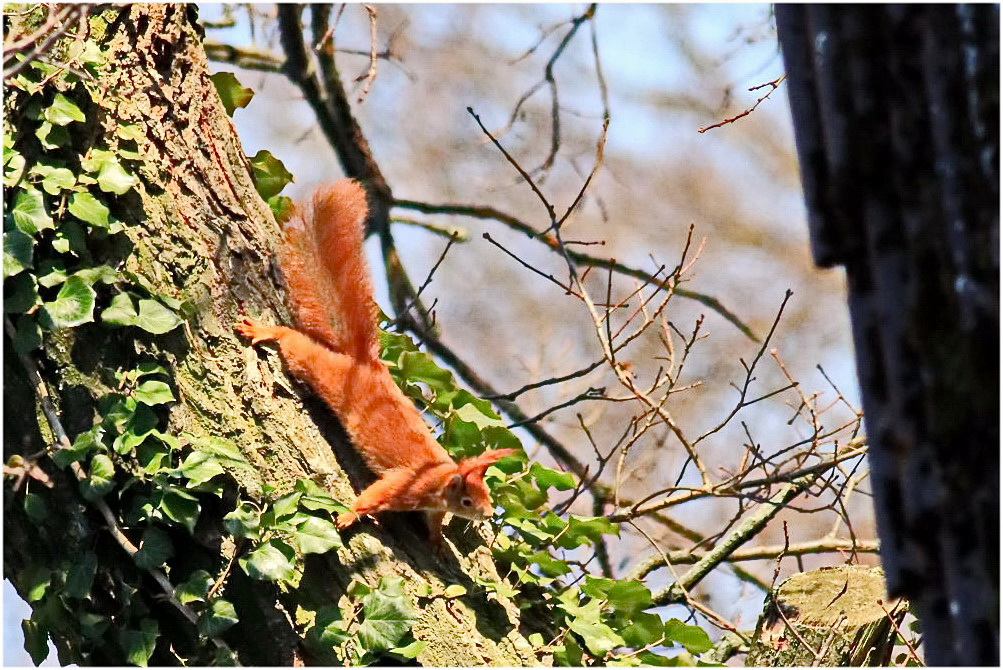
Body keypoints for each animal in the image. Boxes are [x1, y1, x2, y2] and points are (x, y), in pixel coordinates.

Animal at [236, 177, 517, 549]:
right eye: (468, 501)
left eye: (486, 493)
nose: (485, 514)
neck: (440, 478)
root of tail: (364, 363)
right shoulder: (404, 486)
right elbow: (373, 496)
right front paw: (349, 515)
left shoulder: (430, 505)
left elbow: (433, 521)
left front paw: (437, 541)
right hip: (320, 369)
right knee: (295, 343)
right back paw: (267, 331)